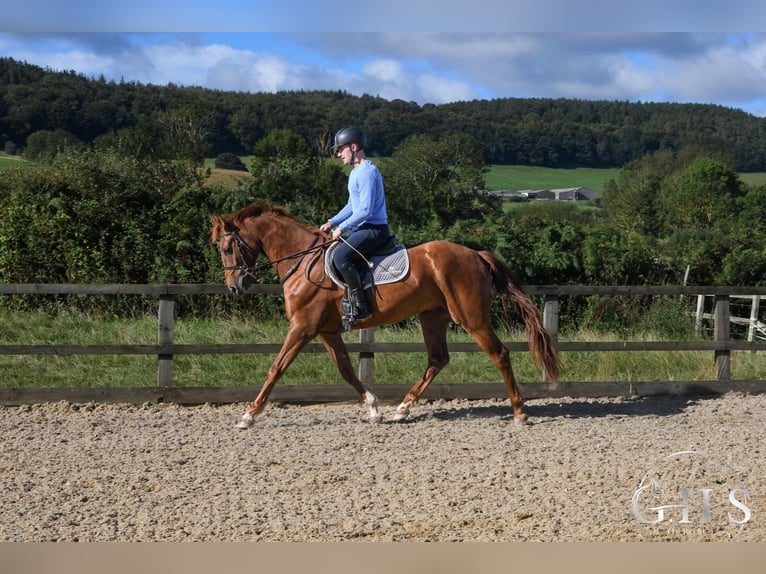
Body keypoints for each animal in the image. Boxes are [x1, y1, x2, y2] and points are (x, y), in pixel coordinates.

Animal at [213, 200, 560, 430]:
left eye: (227, 248)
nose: (234, 287)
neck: (303, 263)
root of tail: (475, 254)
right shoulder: (327, 331)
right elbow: (346, 370)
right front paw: (374, 409)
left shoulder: (303, 327)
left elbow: (276, 367)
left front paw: (249, 415)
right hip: (432, 317)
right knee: (438, 359)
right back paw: (402, 409)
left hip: (471, 318)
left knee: (499, 353)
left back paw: (519, 412)